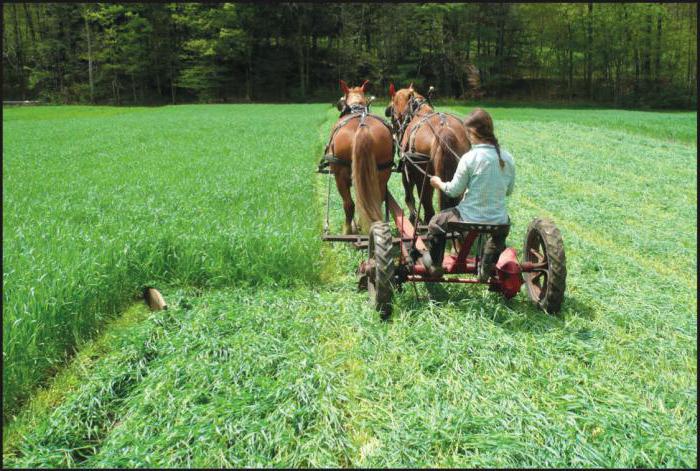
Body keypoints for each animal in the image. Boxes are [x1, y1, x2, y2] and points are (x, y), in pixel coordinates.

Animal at [322, 82, 394, 236]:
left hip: (339, 175)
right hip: (383, 172)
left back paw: (347, 231)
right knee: (374, 200)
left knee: (349, 204)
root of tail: (362, 126)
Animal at [388, 84, 470, 226]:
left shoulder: (407, 169)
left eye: (391, 109)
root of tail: (444, 129)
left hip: (424, 178)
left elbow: (409, 197)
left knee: (428, 209)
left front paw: (412, 218)